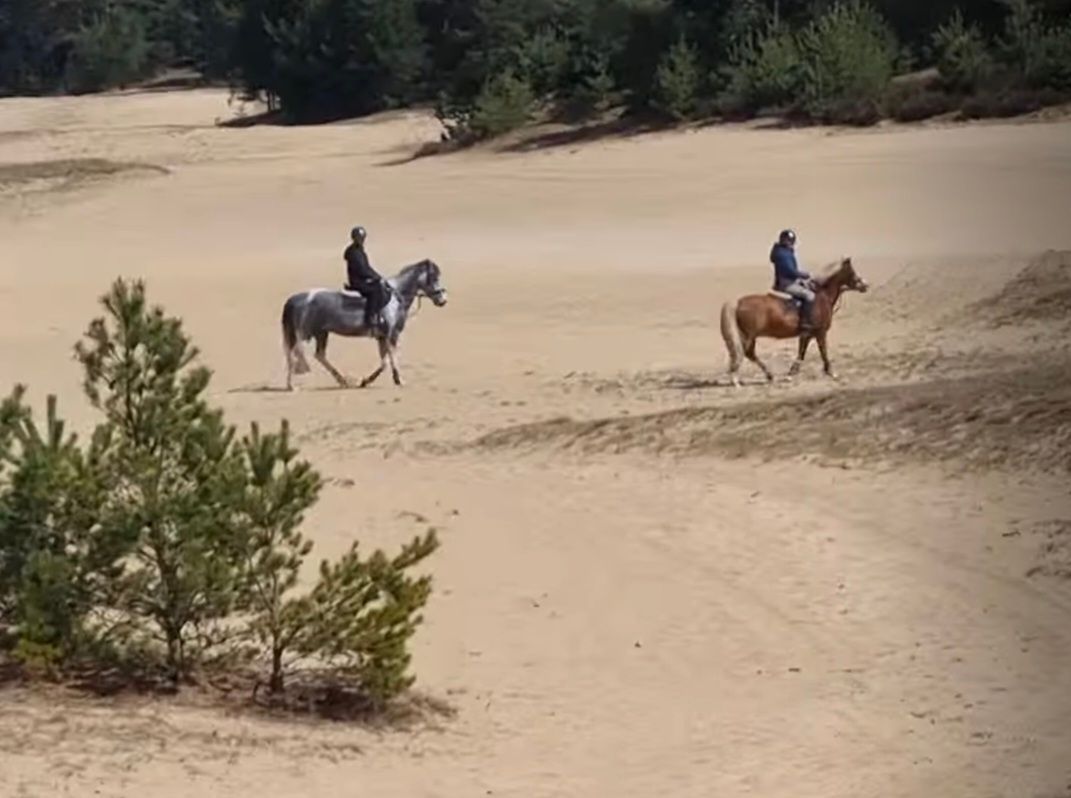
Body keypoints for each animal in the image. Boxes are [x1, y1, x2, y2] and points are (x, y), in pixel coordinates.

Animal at [281, 259, 448, 390]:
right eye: (433, 277)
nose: (442, 300)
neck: (394, 297)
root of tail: (296, 299)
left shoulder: (382, 337)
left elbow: (384, 362)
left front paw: (368, 381)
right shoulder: (391, 335)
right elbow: (391, 358)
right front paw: (397, 379)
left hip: (321, 333)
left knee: (318, 355)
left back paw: (342, 380)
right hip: (304, 335)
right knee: (294, 355)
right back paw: (291, 386)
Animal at [720, 257, 868, 387]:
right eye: (852, 272)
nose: (865, 285)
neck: (821, 298)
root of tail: (738, 302)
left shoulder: (807, 334)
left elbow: (802, 353)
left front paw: (791, 373)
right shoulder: (820, 333)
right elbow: (823, 351)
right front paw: (831, 372)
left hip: (749, 336)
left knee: (749, 354)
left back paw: (769, 376)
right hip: (749, 336)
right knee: (743, 353)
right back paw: (736, 380)